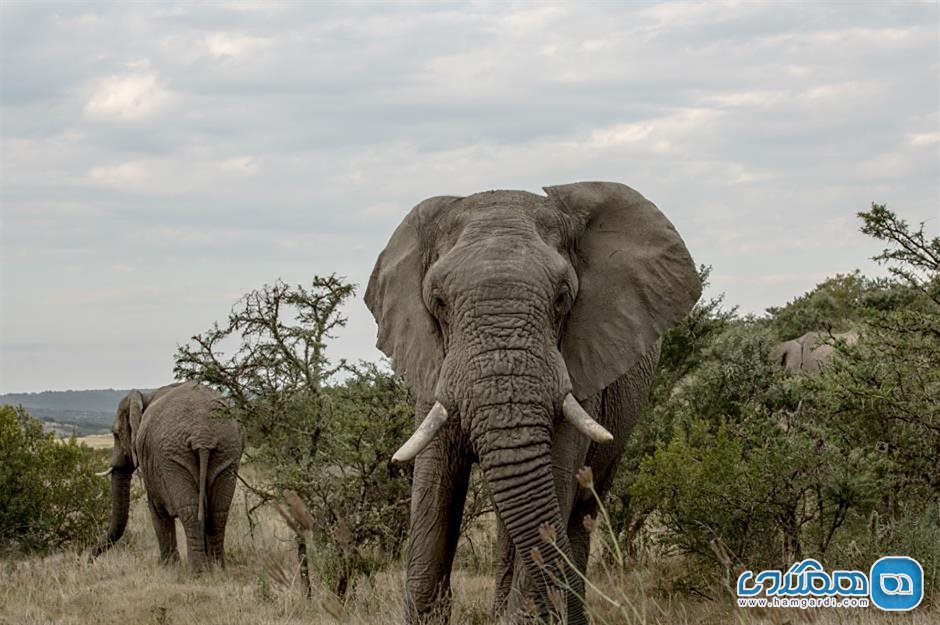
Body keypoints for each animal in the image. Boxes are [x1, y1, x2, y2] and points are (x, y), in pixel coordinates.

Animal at [90, 380, 244, 572]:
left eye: (116, 434)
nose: (88, 561)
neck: (144, 397)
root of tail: (203, 436)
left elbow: (156, 510)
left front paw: (167, 567)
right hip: (228, 450)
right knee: (219, 511)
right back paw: (217, 569)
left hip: (173, 457)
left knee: (190, 510)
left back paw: (197, 572)